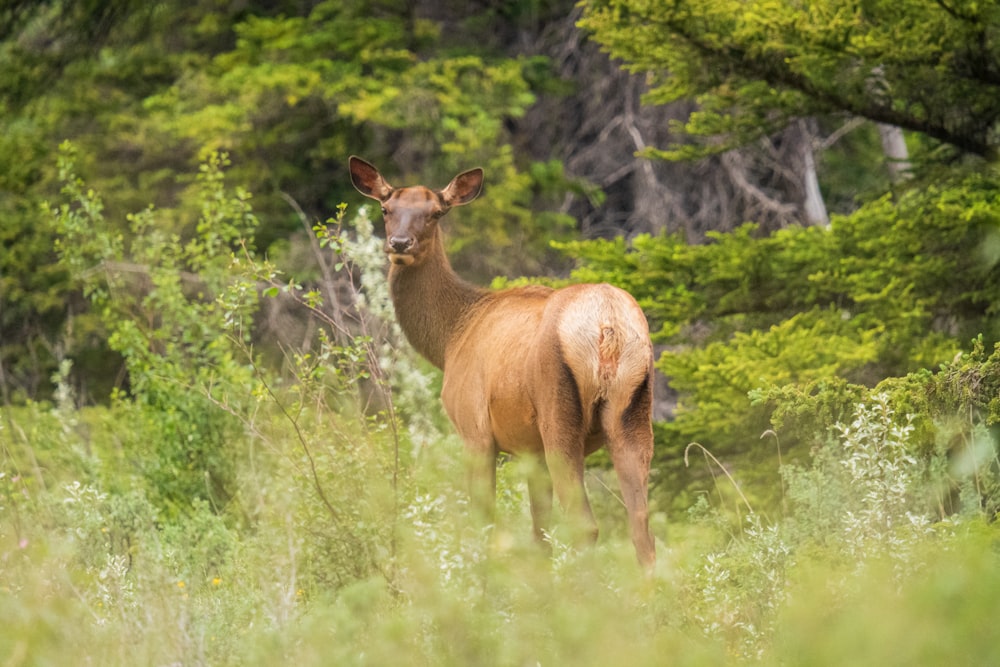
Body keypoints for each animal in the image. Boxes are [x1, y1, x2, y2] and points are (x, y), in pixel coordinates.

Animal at [350, 155, 656, 568]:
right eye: (386, 209)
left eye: (435, 213)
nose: (399, 243)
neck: (451, 337)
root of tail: (608, 326)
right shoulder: (531, 451)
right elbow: (539, 533)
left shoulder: (474, 428)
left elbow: (484, 523)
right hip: (633, 411)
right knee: (642, 530)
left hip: (558, 413)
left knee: (586, 525)